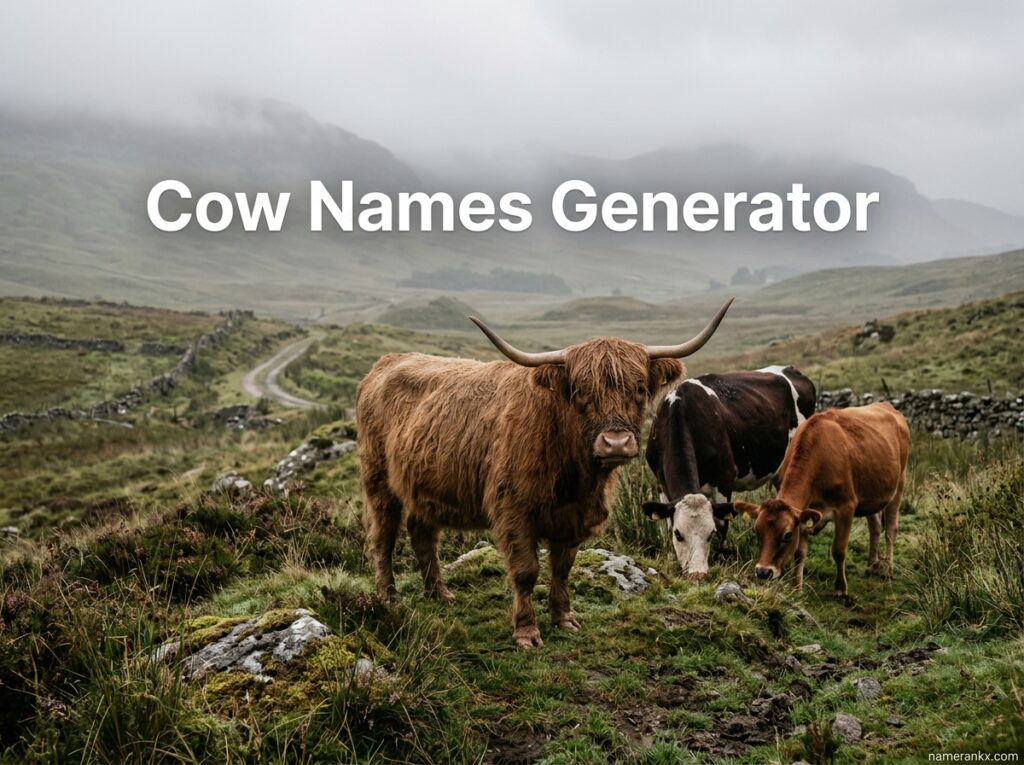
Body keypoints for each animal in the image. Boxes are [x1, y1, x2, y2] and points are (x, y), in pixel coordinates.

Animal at [356, 300, 733, 648]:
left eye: (639, 389)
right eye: (580, 391)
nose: (616, 442)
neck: (575, 474)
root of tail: (385, 362)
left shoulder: (574, 514)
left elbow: (562, 567)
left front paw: (563, 618)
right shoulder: (514, 510)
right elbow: (526, 571)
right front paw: (526, 632)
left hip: (423, 486)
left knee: (422, 532)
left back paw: (440, 594)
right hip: (378, 481)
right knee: (383, 537)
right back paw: (388, 596)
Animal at [642, 366, 816, 580]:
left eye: (710, 534)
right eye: (678, 534)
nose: (697, 574)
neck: (680, 410)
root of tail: (791, 370)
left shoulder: (723, 480)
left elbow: (722, 527)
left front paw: (717, 562)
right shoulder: (660, 483)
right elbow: (666, 523)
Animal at [733, 402, 910, 598]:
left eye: (787, 535)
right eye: (757, 531)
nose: (763, 572)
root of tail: (886, 405)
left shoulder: (846, 507)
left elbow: (838, 550)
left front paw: (840, 589)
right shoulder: (804, 512)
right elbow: (799, 553)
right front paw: (796, 588)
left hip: (899, 485)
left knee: (890, 530)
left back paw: (888, 571)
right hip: (870, 493)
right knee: (875, 526)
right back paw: (872, 565)